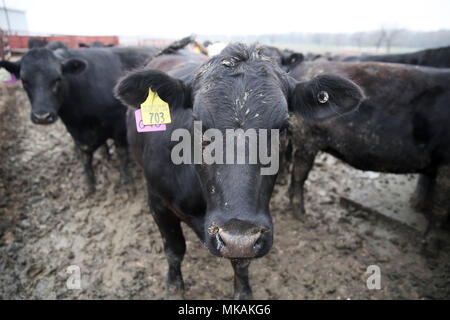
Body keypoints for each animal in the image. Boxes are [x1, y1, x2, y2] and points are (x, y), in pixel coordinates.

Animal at [0, 45, 158, 192]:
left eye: (57, 79)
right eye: (24, 81)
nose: (42, 116)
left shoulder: (118, 125)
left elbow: (122, 154)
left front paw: (127, 182)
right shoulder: (75, 131)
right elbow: (85, 157)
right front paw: (89, 185)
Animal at [114, 43, 364, 298]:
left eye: (284, 127)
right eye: (198, 122)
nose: (237, 238)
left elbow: (241, 263)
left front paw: (243, 292)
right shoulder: (157, 202)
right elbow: (174, 250)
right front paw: (174, 287)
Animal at [286, 60, 450, 245]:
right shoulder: (446, 163)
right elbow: (441, 204)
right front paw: (430, 244)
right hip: (306, 140)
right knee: (299, 175)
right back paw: (301, 214)